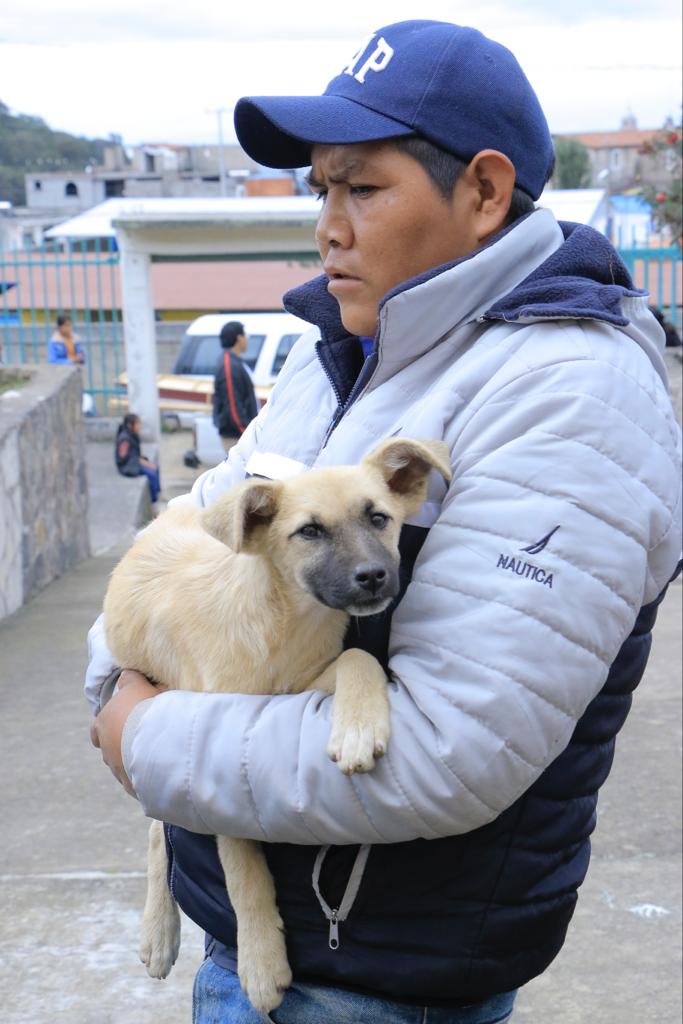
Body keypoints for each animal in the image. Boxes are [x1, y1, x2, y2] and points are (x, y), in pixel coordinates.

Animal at [104, 438, 450, 1015]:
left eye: (379, 518)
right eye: (309, 531)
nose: (373, 576)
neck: (285, 623)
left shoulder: (305, 682)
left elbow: (360, 656)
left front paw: (357, 728)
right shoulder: (213, 746)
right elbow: (244, 874)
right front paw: (263, 964)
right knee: (159, 827)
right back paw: (158, 933)